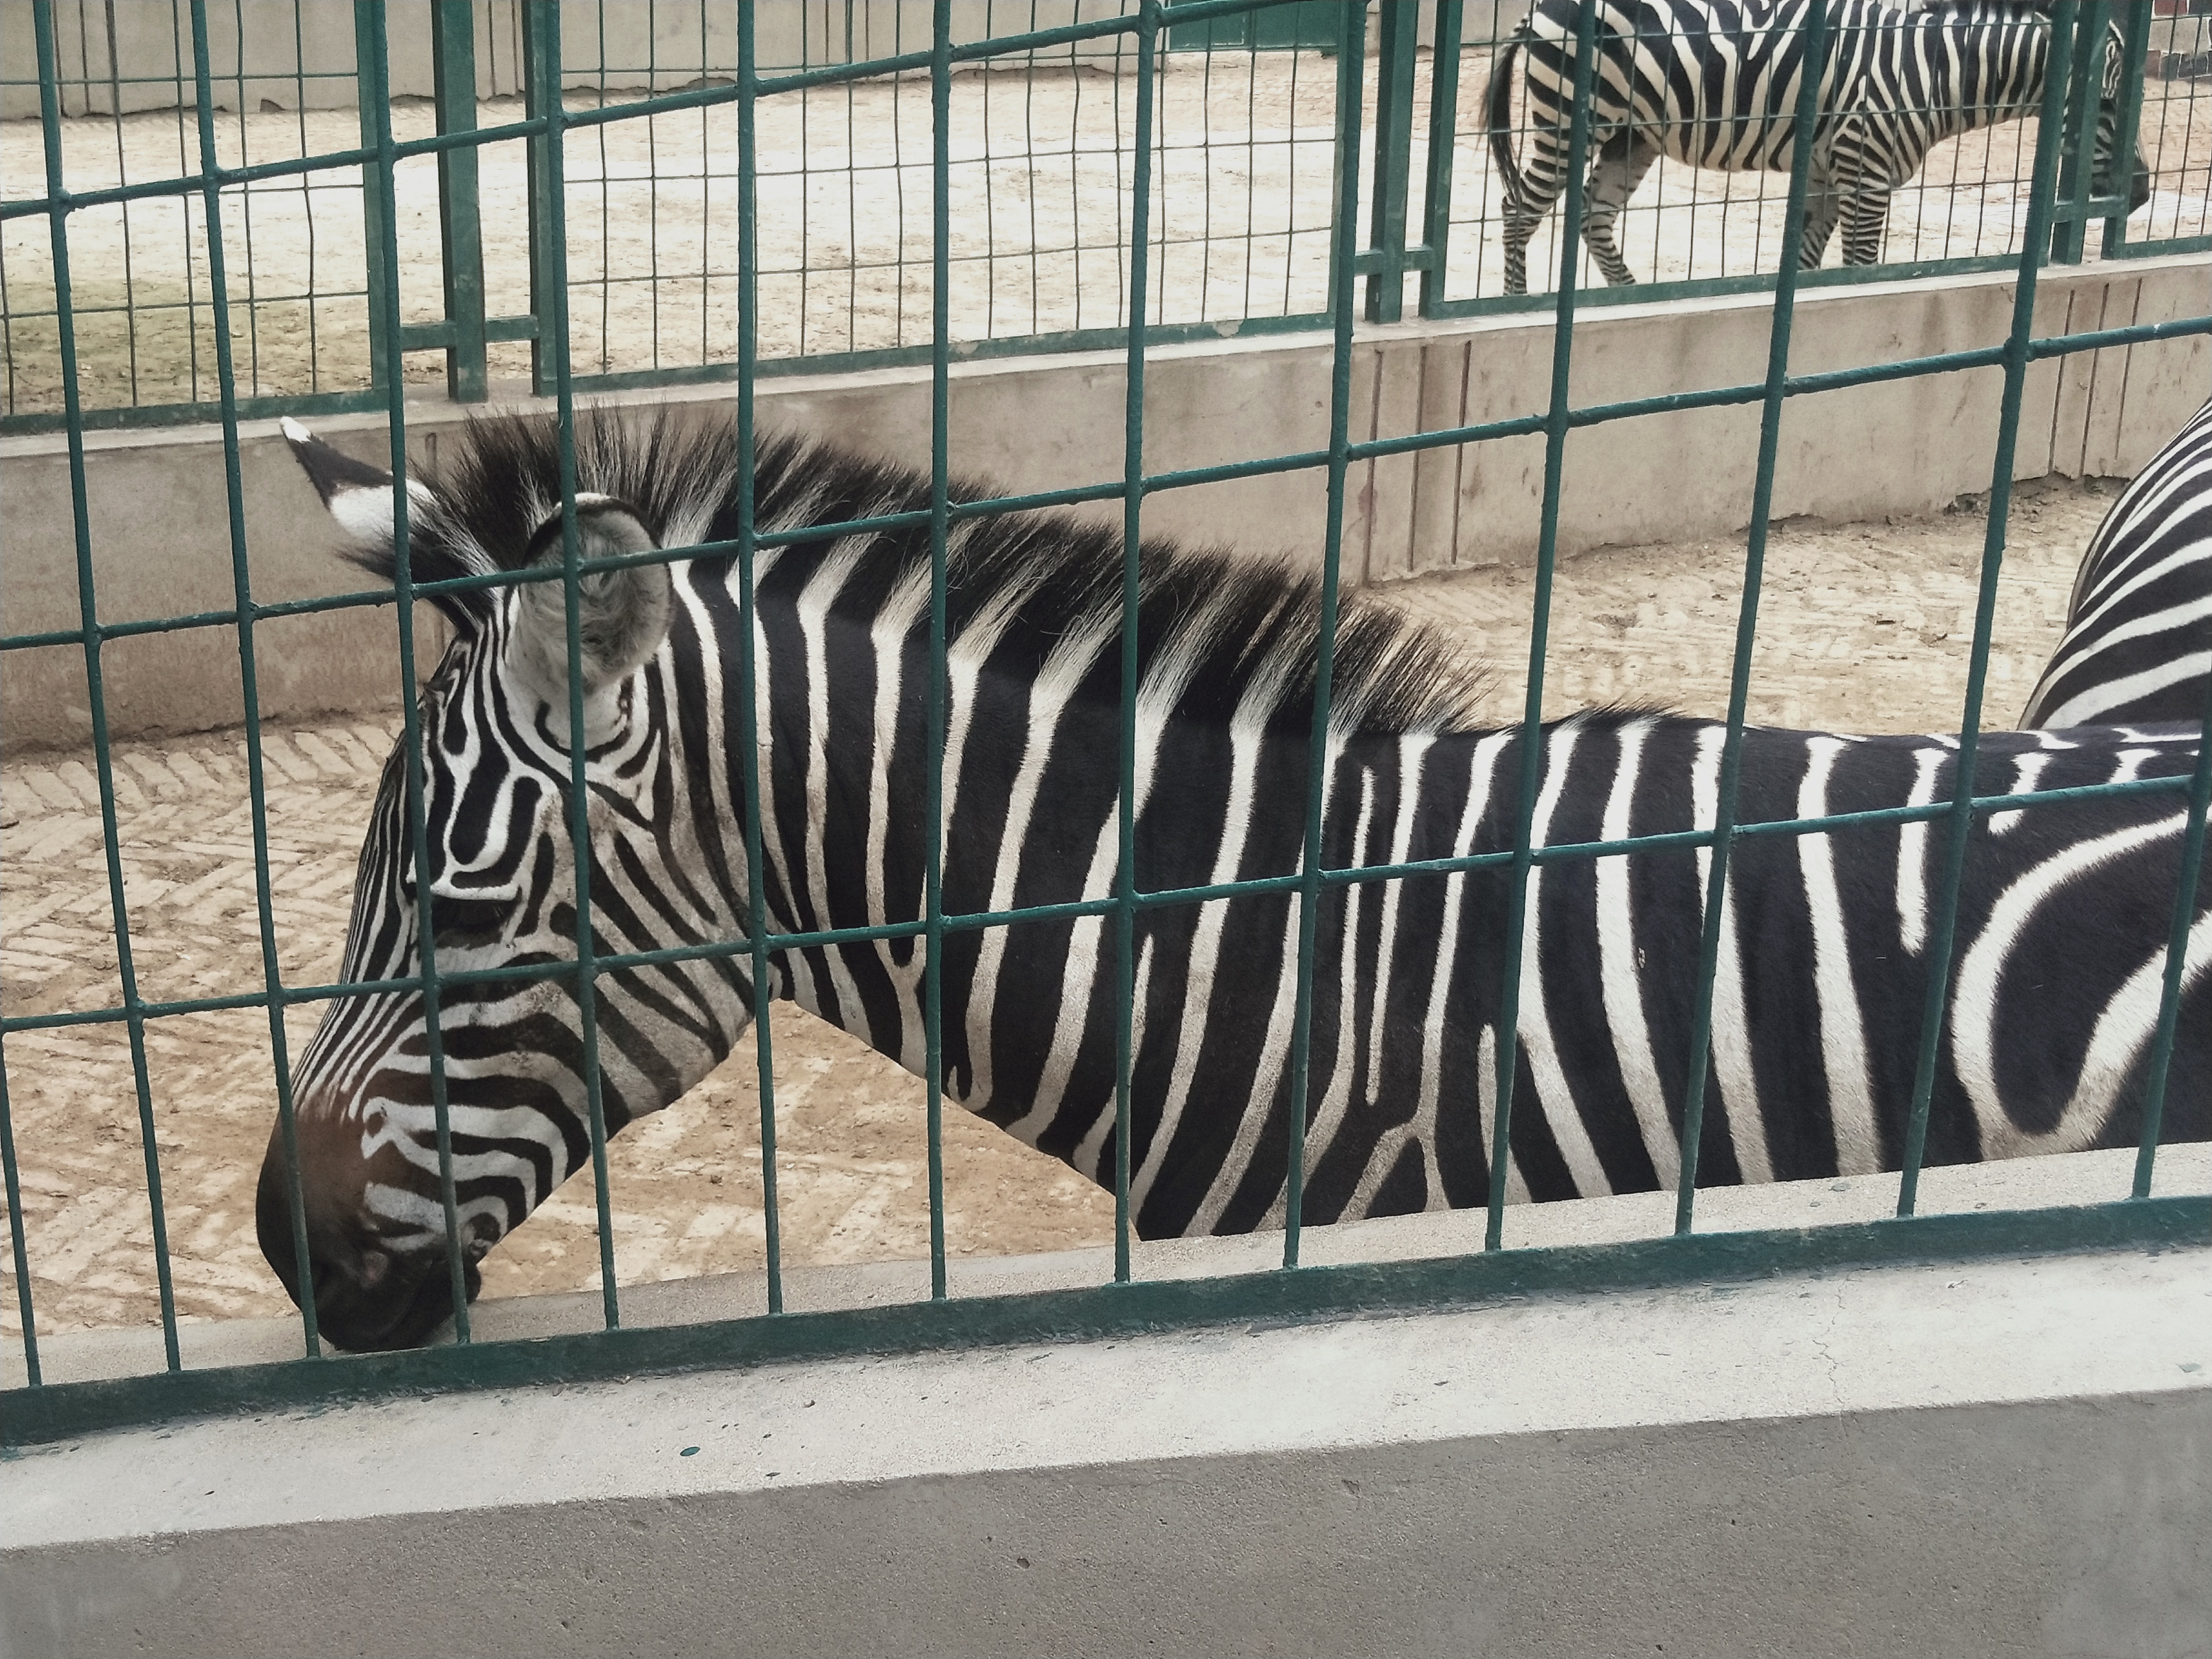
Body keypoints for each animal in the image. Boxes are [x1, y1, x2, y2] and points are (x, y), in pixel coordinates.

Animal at [1486, 0, 2141, 296]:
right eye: (2108, 105)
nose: (2138, 195)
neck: (1935, 72)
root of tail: (1539, 8)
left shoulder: (1831, 175)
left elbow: (1803, 267)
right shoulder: (1866, 176)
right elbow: (1860, 271)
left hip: (1632, 134)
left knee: (1593, 215)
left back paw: (1630, 296)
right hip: (1570, 118)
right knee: (1518, 211)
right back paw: (1519, 302)